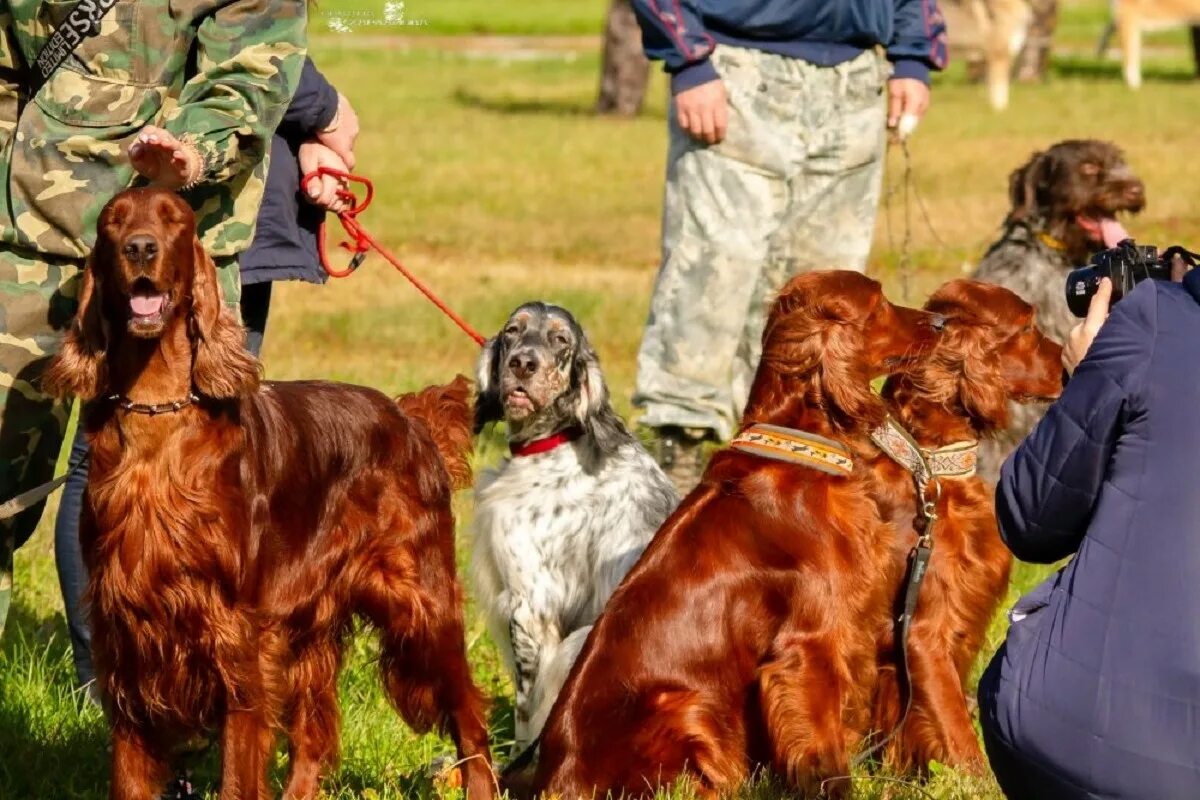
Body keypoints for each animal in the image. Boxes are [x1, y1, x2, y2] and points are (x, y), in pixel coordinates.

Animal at [42, 185, 492, 800]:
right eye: (113, 222)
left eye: (175, 220)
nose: (140, 248)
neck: (159, 413)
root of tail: (410, 419)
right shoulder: (127, 636)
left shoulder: (238, 637)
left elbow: (239, 770)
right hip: (310, 623)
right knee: (314, 731)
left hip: (422, 606)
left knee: (469, 712)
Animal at [528, 272, 945, 796]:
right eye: (879, 304)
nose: (941, 322)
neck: (803, 445)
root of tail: (558, 779)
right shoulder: (809, 647)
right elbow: (826, 754)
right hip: (687, 706)